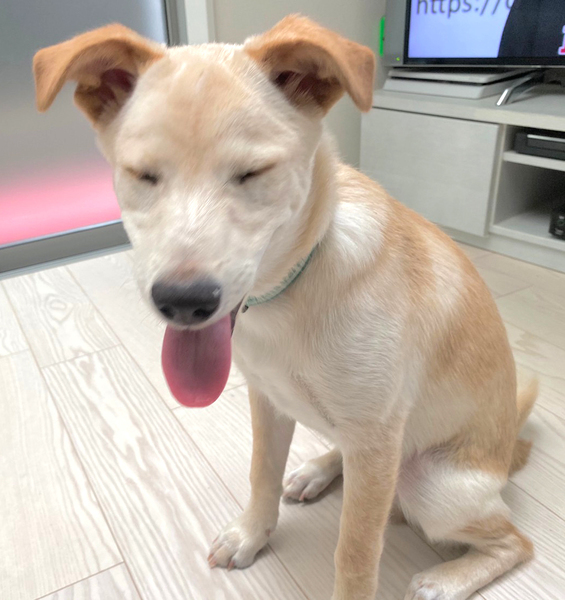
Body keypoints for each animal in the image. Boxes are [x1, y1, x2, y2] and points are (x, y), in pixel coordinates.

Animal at [34, 15, 537, 600]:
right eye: (142, 175)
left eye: (253, 174)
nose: (183, 303)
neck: (291, 291)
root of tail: (508, 449)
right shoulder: (269, 401)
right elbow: (262, 474)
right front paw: (251, 535)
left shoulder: (376, 440)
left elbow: (355, 553)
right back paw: (317, 469)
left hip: (432, 484)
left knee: (515, 542)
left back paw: (445, 580)